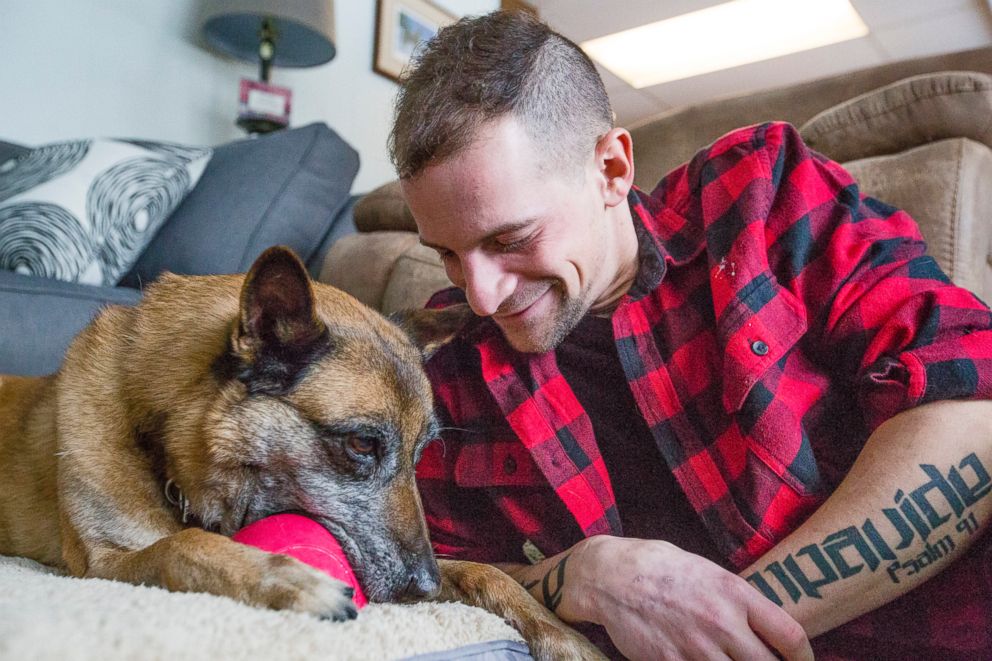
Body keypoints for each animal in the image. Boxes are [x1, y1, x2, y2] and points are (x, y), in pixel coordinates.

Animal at [0, 248, 604, 660]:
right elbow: (184, 546)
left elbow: (488, 572)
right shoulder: (104, 564)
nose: (425, 588)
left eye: (422, 454)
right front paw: (286, 578)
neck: (161, 431)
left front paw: (567, 636)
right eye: (362, 444)